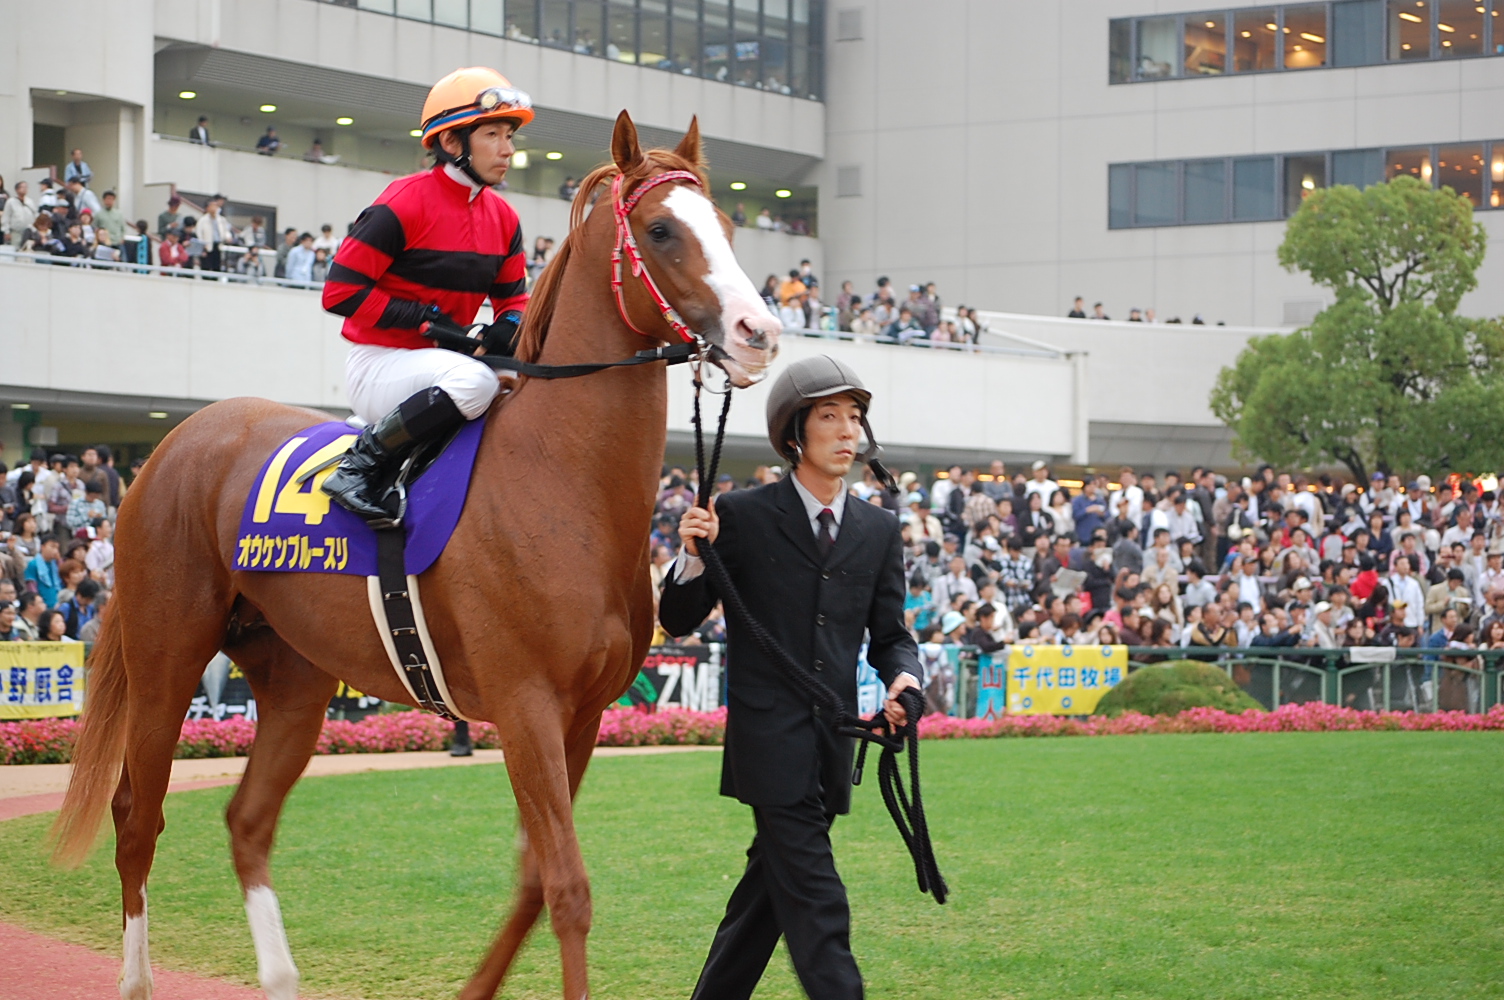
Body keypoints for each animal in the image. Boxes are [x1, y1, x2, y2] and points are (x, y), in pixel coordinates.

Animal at [51, 110, 781, 1000]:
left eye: (729, 228)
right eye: (662, 229)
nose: (758, 333)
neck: (561, 481)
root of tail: (173, 443)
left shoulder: (582, 714)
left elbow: (534, 882)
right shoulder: (526, 704)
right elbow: (568, 888)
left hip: (293, 677)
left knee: (247, 819)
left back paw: (281, 975)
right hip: (168, 653)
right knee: (136, 813)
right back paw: (136, 980)